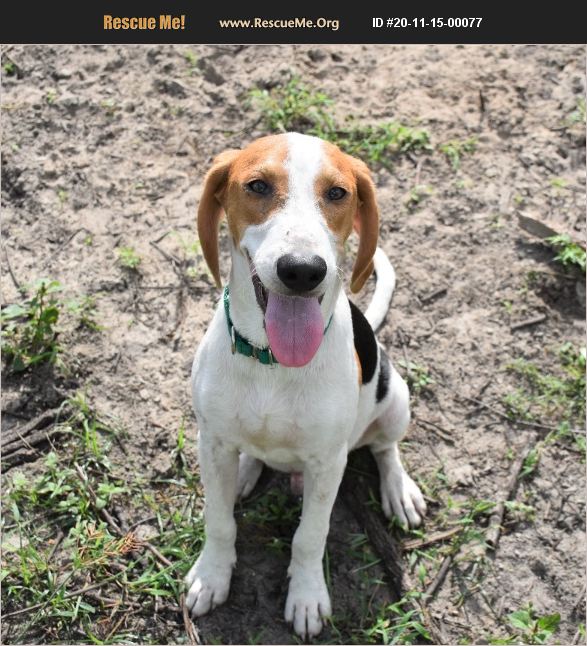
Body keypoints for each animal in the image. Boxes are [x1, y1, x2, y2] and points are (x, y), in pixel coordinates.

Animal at [186, 134, 424, 640]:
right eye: (257, 185)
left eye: (337, 193)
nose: (301, 270)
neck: (273, 363)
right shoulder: (211, 442)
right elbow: (219, 520)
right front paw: (212, 575)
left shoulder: (327, 464)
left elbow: (309, 536)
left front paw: (308, 596)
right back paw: (247, 472)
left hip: (396, 399)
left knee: (385, 448)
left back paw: (399, 489)